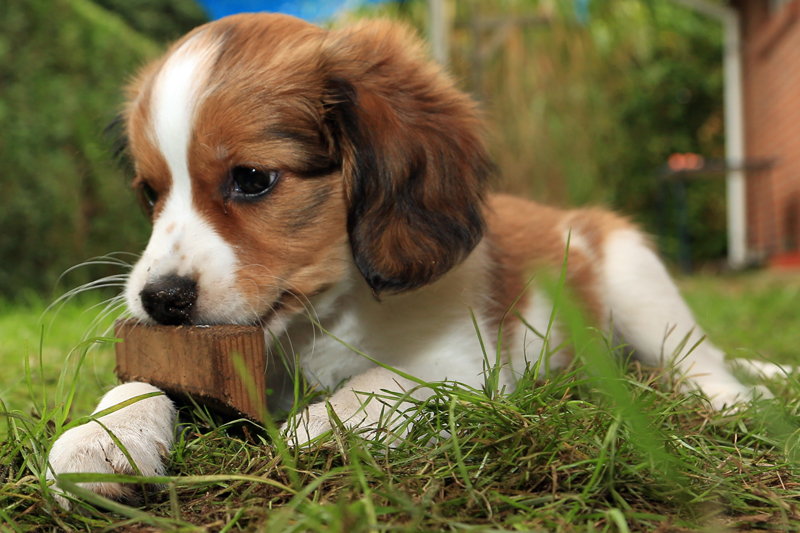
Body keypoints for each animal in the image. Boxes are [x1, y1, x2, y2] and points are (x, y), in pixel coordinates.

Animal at [47, 13, 764, 508]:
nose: (160, 301)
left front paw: (306, 433)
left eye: (251, 179)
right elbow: (141, 380)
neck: (323, 320)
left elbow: (373, 388)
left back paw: (730, 401)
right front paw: (102, 438)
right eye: (150, 191)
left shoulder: (466, 364)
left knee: (701, 364)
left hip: (636, 279)